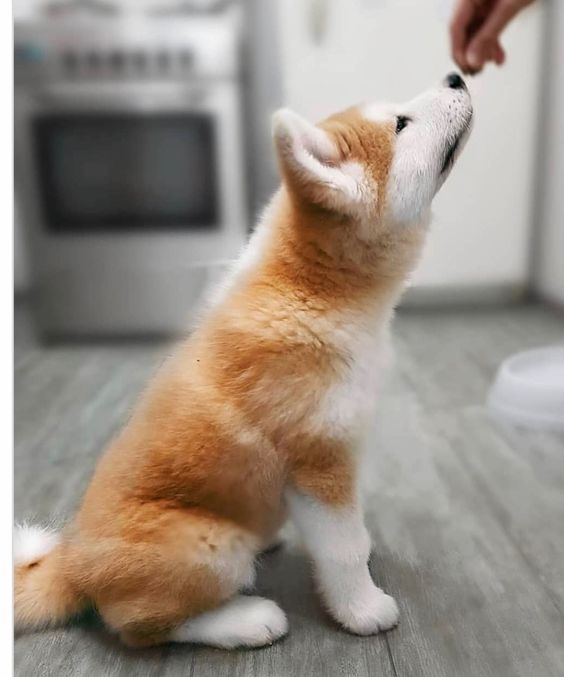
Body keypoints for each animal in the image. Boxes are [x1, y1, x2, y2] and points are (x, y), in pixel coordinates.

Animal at [14, 71, 472, 648]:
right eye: (401, 124)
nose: (456, 75)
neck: (310, 295)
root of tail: (70, 564)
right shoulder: (319, 466)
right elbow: (343, 550)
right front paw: (361, 609)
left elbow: (356, 534)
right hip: (207, 545)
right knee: (142, 627)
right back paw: (246, 620)